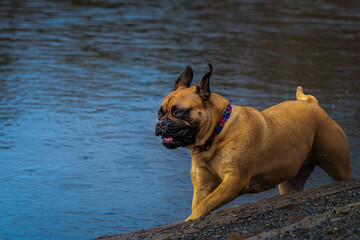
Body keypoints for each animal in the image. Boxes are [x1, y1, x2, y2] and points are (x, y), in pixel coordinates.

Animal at [154, 64, 352, 221]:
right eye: (159, 113)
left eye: (178, 112)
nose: (161, 123)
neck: (216, 135)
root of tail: (312, 103)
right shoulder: (202, 186)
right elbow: (200, 203)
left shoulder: (234, 181)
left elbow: (205, 204)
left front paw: (191, 219)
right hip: (290, 182)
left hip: (337, 164)